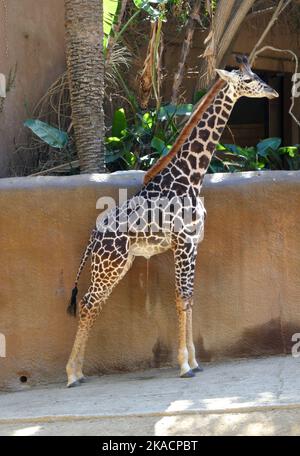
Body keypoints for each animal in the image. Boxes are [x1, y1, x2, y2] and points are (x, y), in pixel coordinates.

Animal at [65, 55, 278, 386]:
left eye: (257, 75)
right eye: (247, 81)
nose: (272, 91)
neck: (192, 175)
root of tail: (93, 237)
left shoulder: (193, 244)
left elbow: (189, 298)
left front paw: (195, 362)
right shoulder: (183, 243)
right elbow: (182, 298)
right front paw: (184, 365)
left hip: (118, 264)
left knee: (93, 304)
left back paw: (79, 371)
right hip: (109, 265)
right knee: (88, 302)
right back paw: (72, 374)